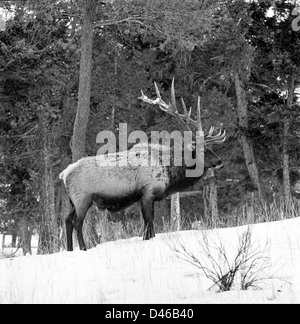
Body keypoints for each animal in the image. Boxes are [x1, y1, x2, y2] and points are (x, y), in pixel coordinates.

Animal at [59, 79, 225, 252]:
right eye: (202, 150)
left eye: (211, 147)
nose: (220, 161)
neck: (170, 172)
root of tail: (64, 174)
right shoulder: (147, 192)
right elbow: (148, 223)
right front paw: (147, 239)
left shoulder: (149, 196)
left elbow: (150, 223)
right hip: (82, 198)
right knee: (77, 223)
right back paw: (83, 248)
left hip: (73, 200)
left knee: (67, 220)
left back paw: (70, 249)